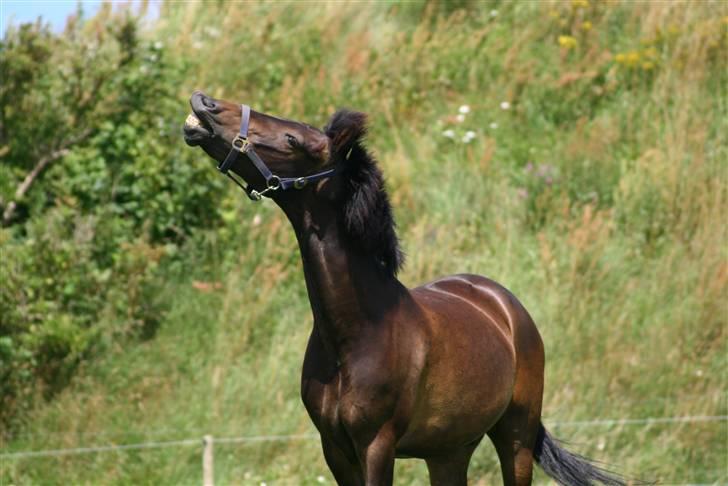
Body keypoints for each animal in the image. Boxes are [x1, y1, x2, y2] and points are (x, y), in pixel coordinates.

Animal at [183, 92, 624, 486]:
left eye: (293, 140)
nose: (205, 105)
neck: (357, 332)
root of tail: (504, 305)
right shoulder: (335, 450)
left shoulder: (377, 445)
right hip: (449, 450)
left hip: (516, 436)